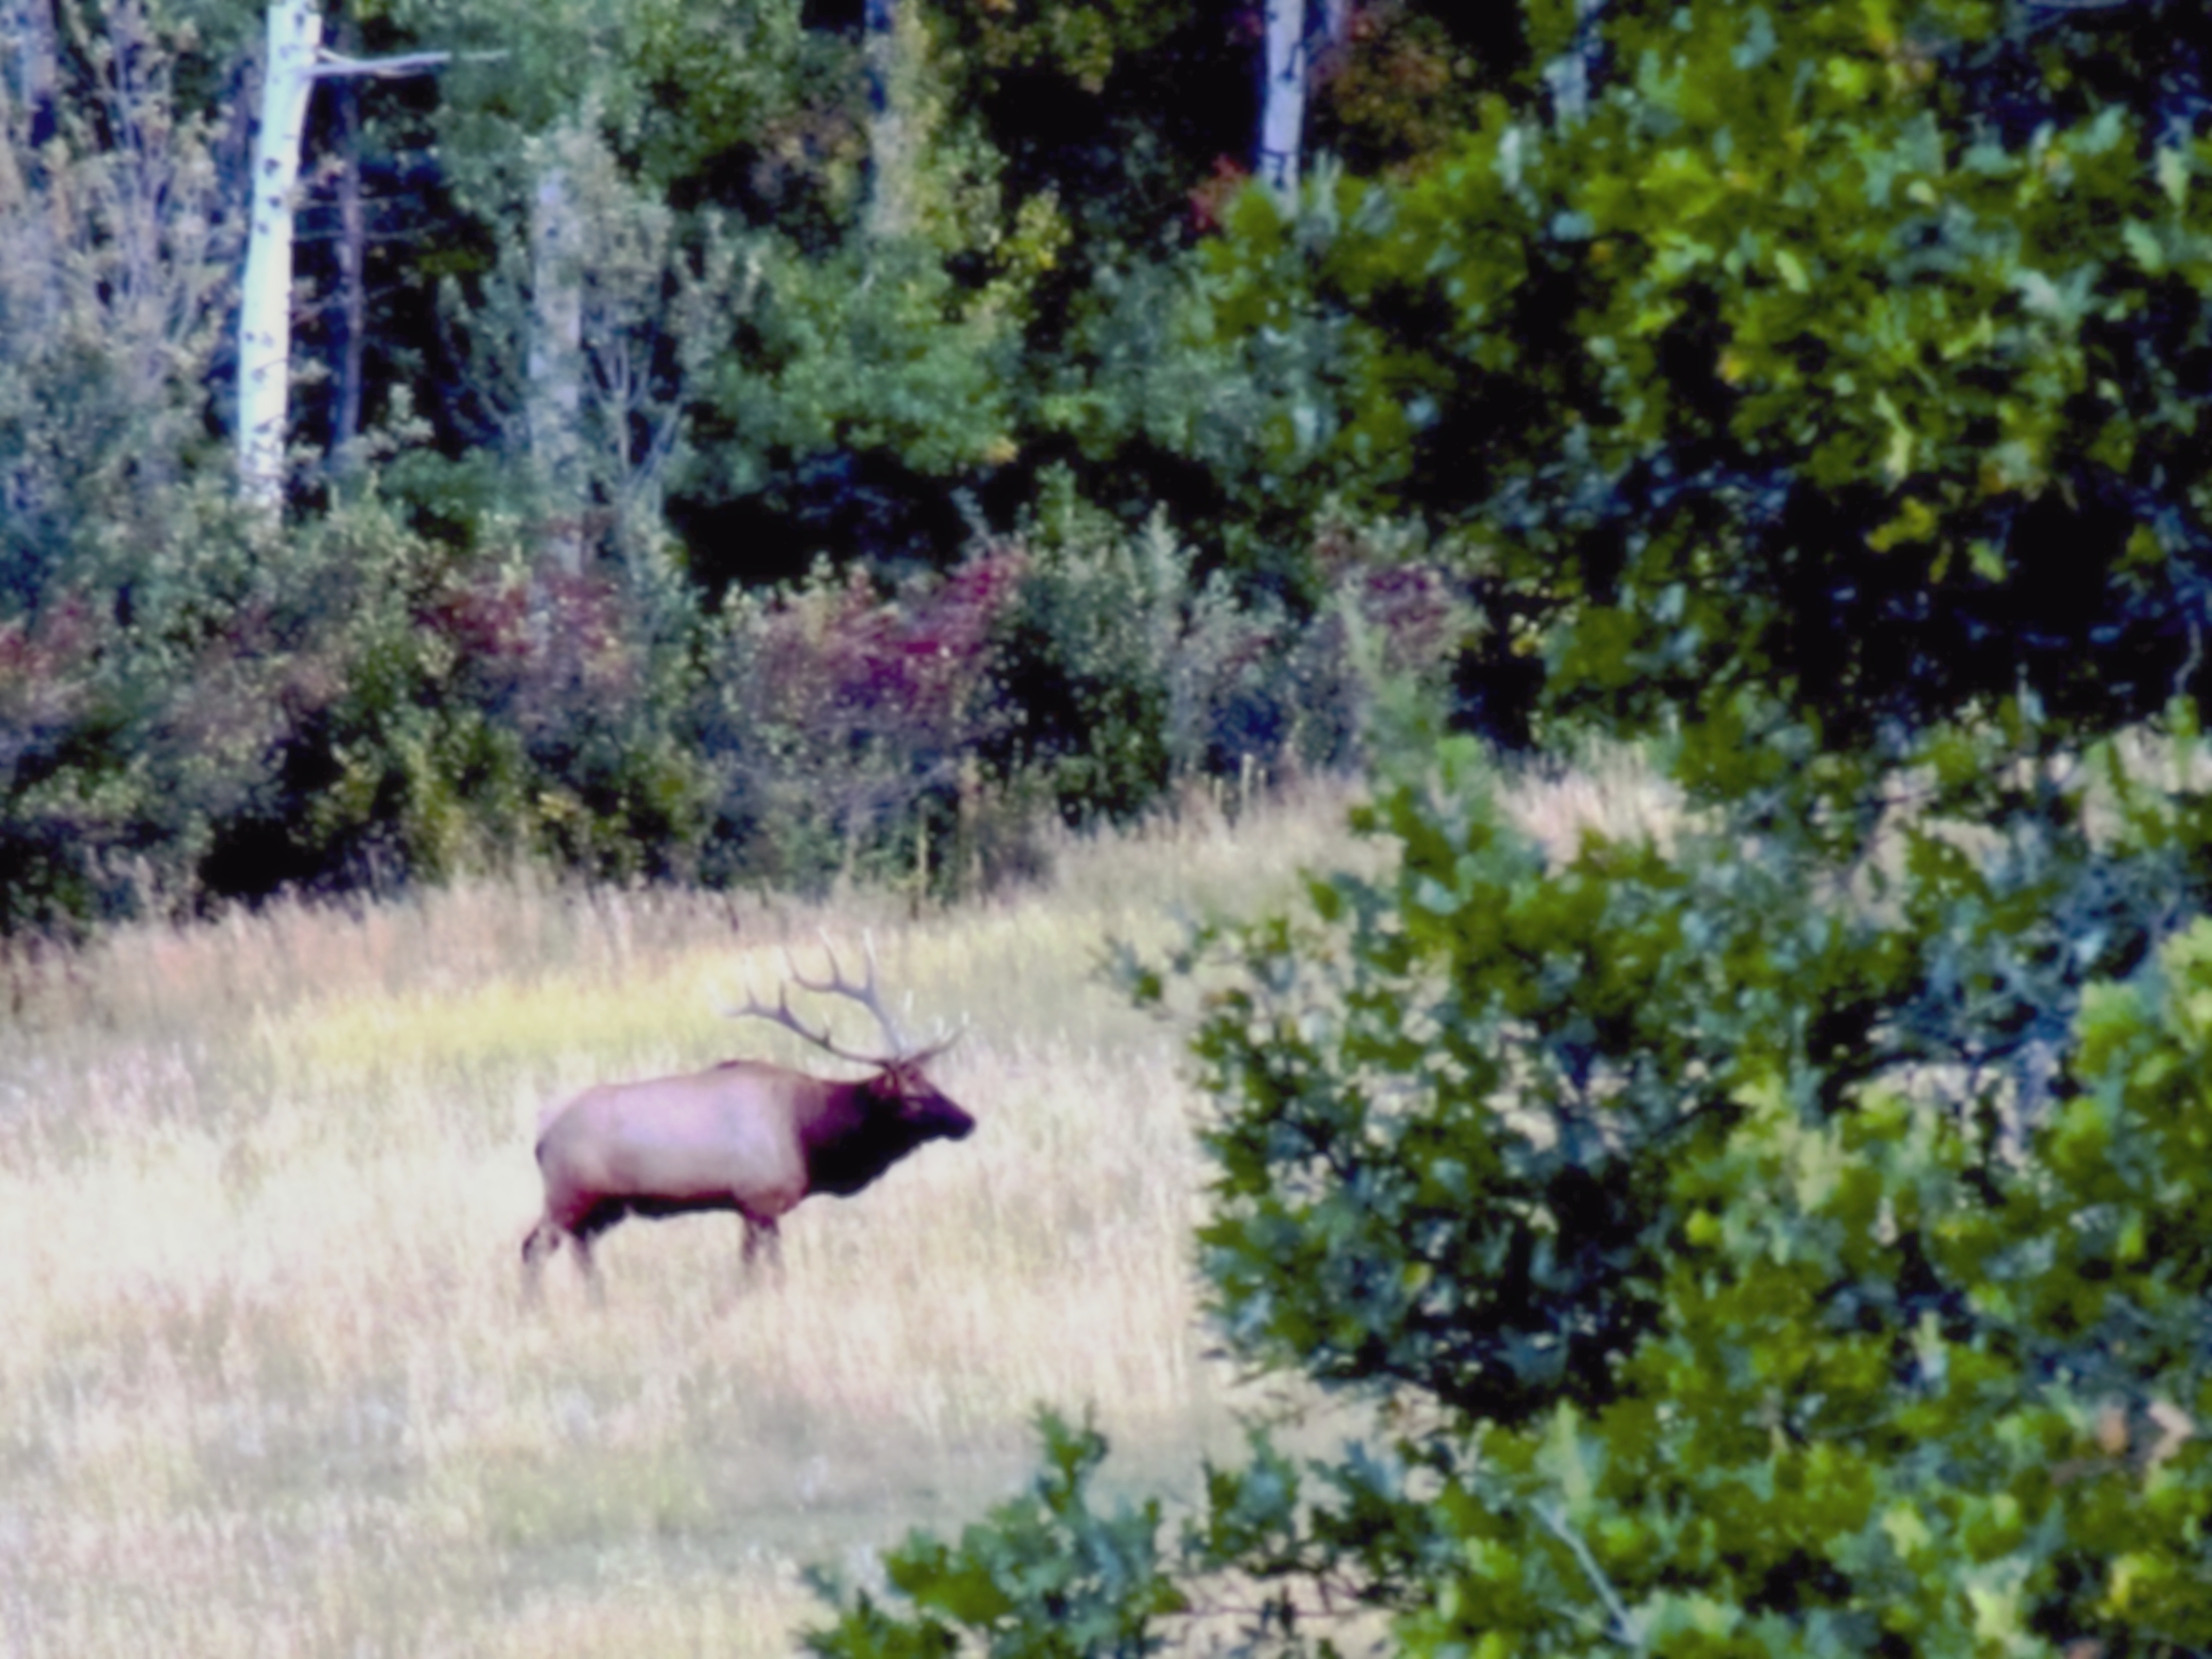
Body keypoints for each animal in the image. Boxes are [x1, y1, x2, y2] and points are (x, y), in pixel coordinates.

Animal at [521, 939, 973, 1298]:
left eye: (931, 1080)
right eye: (911, 1096)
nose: (968, 1121)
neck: (810, 1138)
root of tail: (541, 1136)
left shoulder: (748, 1208)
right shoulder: (760, 1201)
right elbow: (765, 1270)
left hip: (602, 1209)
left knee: (580, 1252)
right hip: (567, 1195)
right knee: (531, 1249)